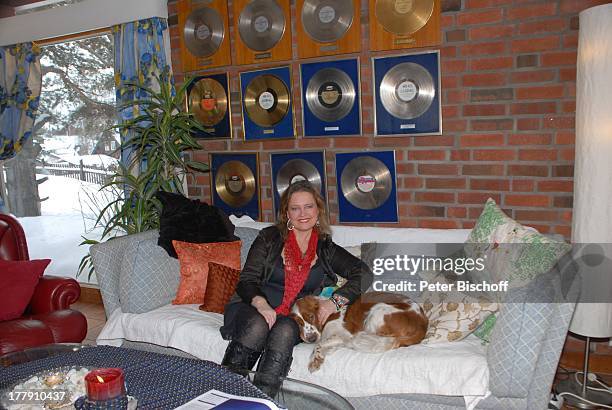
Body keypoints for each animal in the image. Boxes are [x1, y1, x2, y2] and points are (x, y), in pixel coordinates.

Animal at [290, 292, 428, 372]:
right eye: (299, 323)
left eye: (311, 316)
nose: (311, 338)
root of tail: (423, 324)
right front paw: (319, 357)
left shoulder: (346, 335)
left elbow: (319, 345)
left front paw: (315, 360)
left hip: (377, 310)